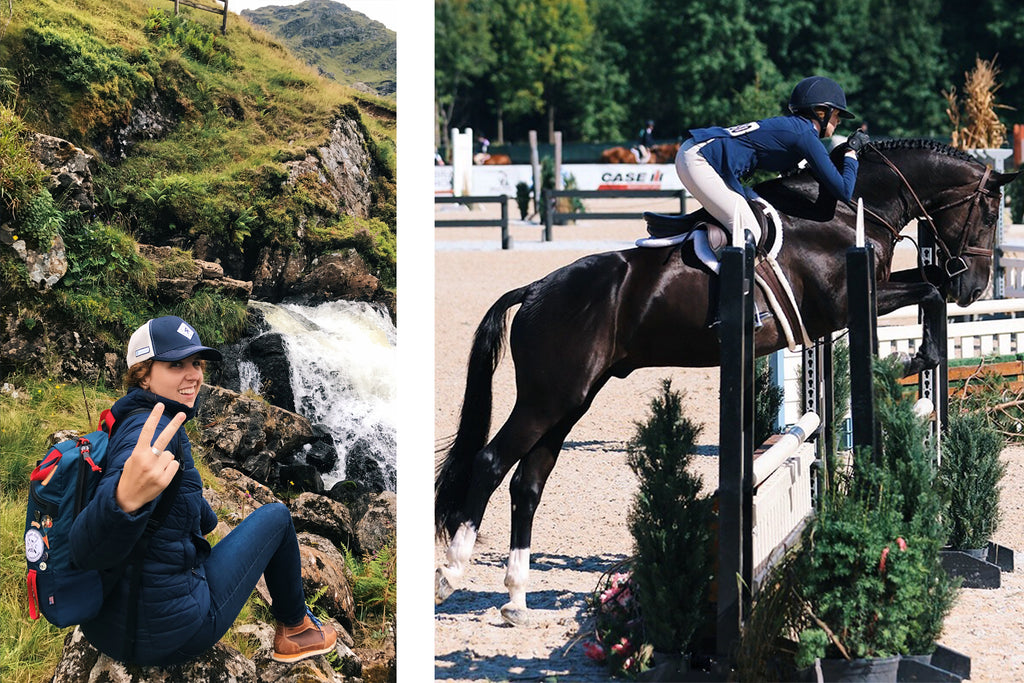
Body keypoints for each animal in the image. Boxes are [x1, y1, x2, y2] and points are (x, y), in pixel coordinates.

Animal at [436, 139, 1019, 626]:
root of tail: (535, 289)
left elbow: (928, 287)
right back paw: (453, 571)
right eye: (990, 213)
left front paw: (922, 352)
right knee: (491, 462)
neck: (846, 210)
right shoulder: (844, 302)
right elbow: (928, 292)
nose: (973, 287)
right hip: (548, 397)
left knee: (527, 482)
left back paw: (516, 598)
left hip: (571, 401)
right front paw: (914, 358)